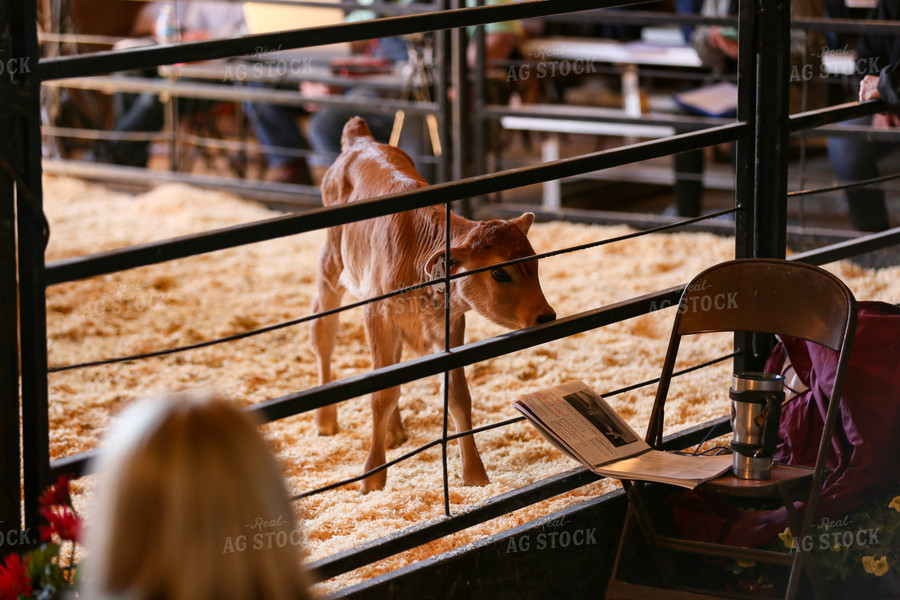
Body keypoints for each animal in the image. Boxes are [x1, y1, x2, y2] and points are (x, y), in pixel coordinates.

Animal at [310, 116, 556, 492]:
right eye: (499, 272)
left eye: (536, 263)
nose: (546, 315)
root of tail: (361, 139)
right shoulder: (377, 314)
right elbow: (381, 394)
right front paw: (373, 478)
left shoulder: (449, 325)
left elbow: (457, 396)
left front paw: (475, 475)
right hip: (332, 264)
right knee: (323, 331)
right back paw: (325, 420)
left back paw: (395, 431)